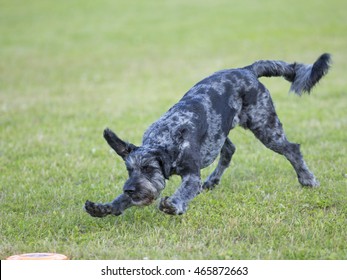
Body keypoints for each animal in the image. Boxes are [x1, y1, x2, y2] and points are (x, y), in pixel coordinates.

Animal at [84, 53, 332, 218]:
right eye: (129, 170)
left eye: (148, 169)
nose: (130, 189)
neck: (166, 138)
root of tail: (248, 69)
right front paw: (106, 207)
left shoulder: (191, 175)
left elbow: (184, 191)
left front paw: (173, 204)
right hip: (220, 133)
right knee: (229, 150)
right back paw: (212, 180)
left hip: (266, 127)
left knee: (292, 149)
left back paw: (307, 179)